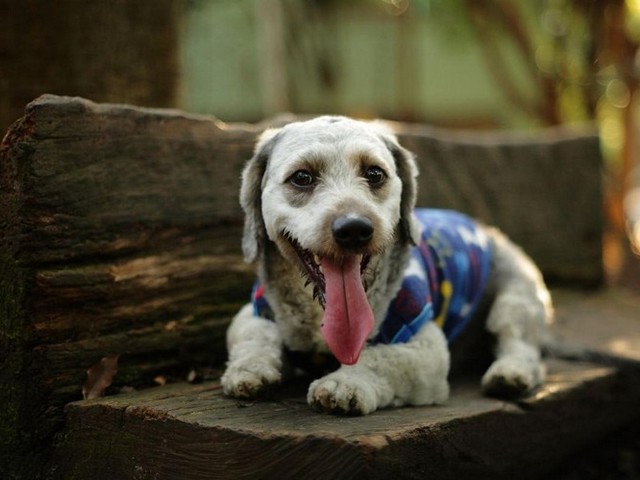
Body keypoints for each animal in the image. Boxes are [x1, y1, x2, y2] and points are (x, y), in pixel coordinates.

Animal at [219, 117, 552, 416]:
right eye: (302, 177)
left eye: (375, 173)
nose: (354, 229)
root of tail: (487, 229)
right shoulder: (253, 313)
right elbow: (255, 337)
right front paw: (250, 368)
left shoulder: (425, 347)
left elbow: (381, 358)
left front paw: (345, 384)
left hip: (514, 300)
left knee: (523, 349)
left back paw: (509, 374)